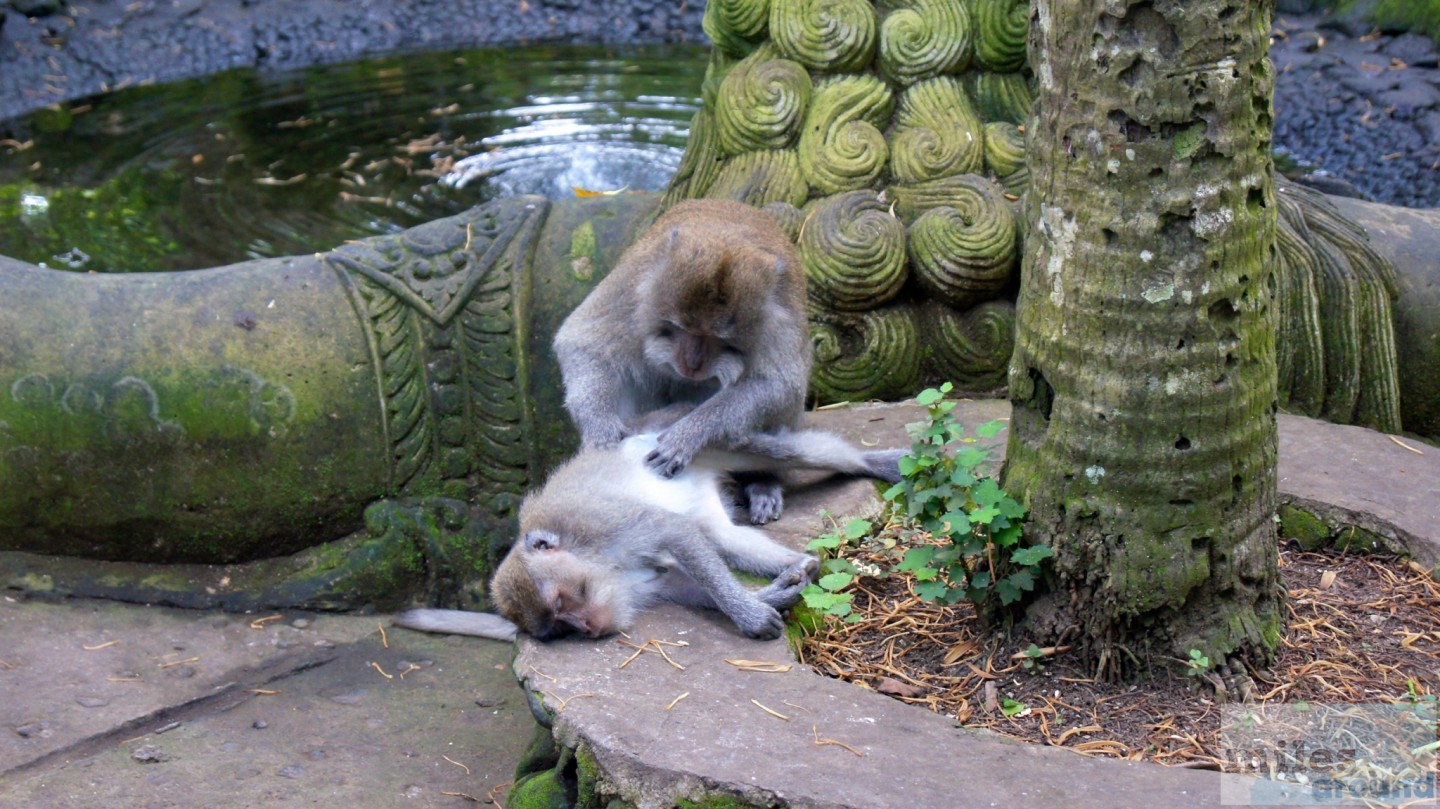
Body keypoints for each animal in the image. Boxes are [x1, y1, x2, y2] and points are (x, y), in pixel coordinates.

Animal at [397, 426, 898, 639]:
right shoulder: (630, 587)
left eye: (561, 604)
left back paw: (877, 464)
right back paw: (798, 566)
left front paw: (750, 617)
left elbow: (673, 533)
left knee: (780, 451)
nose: (588, 627)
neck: (598, 562)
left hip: (695, 443)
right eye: (558, 628)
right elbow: (679, 579)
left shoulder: (600, 524)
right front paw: (772, 597)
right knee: (721, 537)